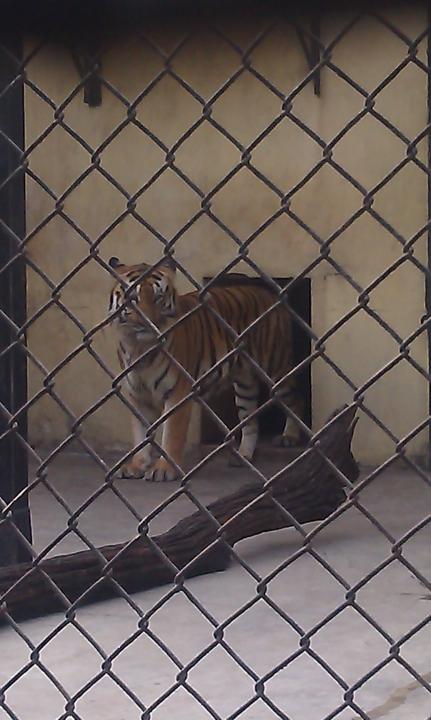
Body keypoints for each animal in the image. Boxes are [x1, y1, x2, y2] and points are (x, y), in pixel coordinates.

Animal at [108, 256, 303, 482]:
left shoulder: (178, 392)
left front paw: (164, 469)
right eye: (133, 298)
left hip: (275, 366)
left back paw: (290, 436)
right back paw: (243, 455)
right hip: (244, 383)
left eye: (158, 297)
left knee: (294, 399)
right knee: (250, 420)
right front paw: (136, 465)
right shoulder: (137, 395)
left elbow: (171, 434)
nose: (148, 322)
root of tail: (271, 294)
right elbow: (141, 436)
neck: (139, 346)